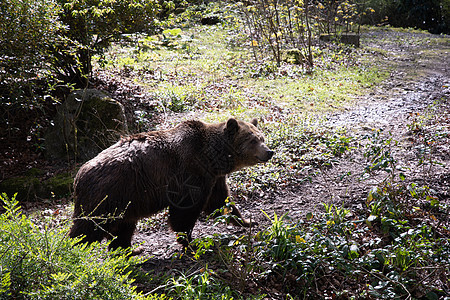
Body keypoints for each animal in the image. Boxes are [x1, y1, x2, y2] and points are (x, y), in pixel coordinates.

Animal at [69, 118, 274, 252]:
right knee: (88, 227)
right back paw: (73, 251)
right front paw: (190, 242)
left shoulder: (213, 178)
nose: (269, 151)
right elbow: (185, 211)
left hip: (126, 201)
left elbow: (221, 202)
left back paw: (129, 250)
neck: (213, 157)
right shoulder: (190, 173)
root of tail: (79, 175)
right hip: (108, 195)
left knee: (124, 228)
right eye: (253, 140)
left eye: (262, 137)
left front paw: (247, 221)